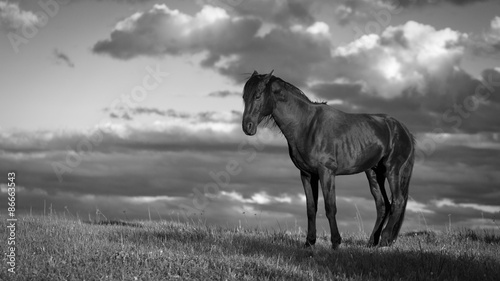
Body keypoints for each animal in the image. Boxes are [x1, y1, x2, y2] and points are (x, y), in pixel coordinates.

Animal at [241, 70, 414, 247]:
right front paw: (309, 242)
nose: (247, 126)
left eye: (258, 95)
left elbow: (330, 207)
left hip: (393, 170)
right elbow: (311, 208)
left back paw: (385, 239)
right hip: (374, 173)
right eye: (244, 96)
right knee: (382, 204)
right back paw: (372, 241)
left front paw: (336, 242)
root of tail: (402, 129)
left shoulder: (326, 173)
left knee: (397, 201)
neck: (307, 124)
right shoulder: (307, 174)